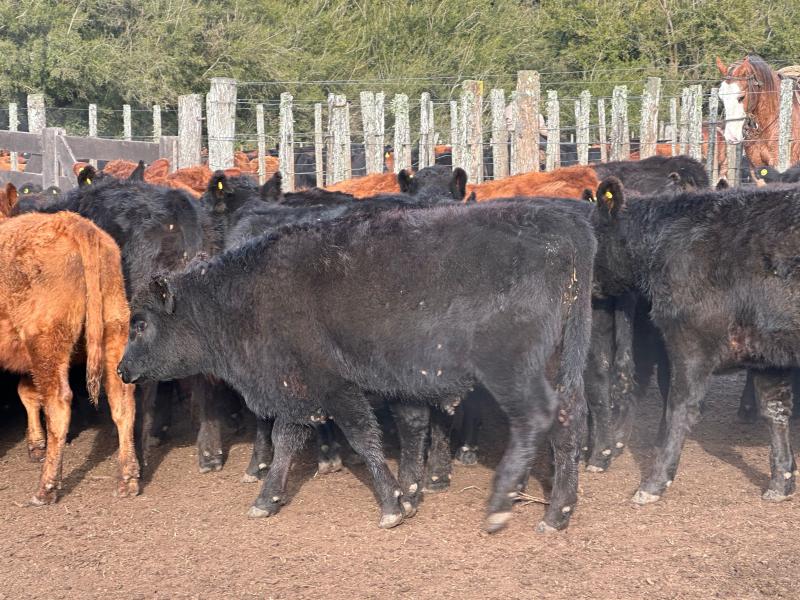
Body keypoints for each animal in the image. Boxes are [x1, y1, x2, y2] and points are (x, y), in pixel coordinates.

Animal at [0, 183, 139, 504]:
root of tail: (72, 223)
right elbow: (27, 392)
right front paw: (35, 445)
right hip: (113, 329)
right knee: (122, 399)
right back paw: (128, 479)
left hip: (47, 341)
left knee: (59, 403)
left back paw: (47, 487)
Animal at [119, 199, 595, 532]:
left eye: (139, 324)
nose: (123, 370)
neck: (249, 292)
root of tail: (562, 225)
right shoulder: (299, 389)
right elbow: (287, 440)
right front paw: (266, 500)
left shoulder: (332, 384)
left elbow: (362, 437)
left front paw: (391, 504)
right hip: (558, 366)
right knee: (568, 422)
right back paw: (557, 513)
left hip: (513, 370)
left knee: (536, 419)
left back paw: (501, 506)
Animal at [591, 176, 800, 505]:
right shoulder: (768, 352)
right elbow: (775, 410)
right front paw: (780, 483)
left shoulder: (690, 342)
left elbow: (680, 407)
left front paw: (654, 483)